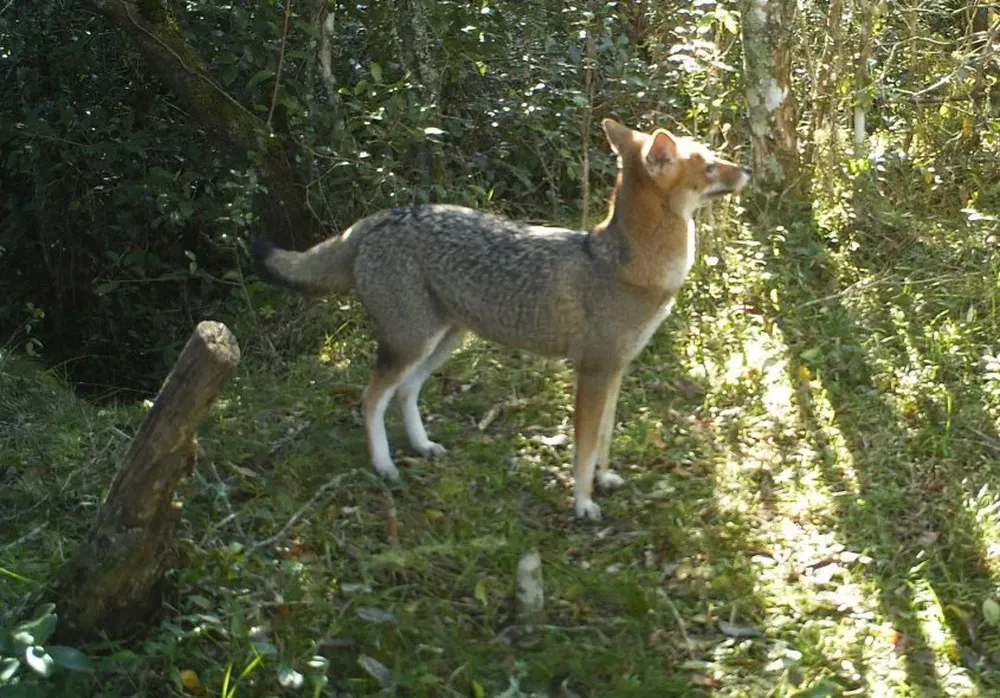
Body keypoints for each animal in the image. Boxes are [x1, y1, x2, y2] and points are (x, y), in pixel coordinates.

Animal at [251, 119, 750, 519]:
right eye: (709, 165)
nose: (745, 168)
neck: (627, 266)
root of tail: (380, 217)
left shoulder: (616, 369)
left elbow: (606, 437)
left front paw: (603, 480)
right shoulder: (593, 371)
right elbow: (584, 447)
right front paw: (583, 503)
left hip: (444, 343)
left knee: (405, 392)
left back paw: (422, 446)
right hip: (412, 344)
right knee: (371, 399)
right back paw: (385, 466)